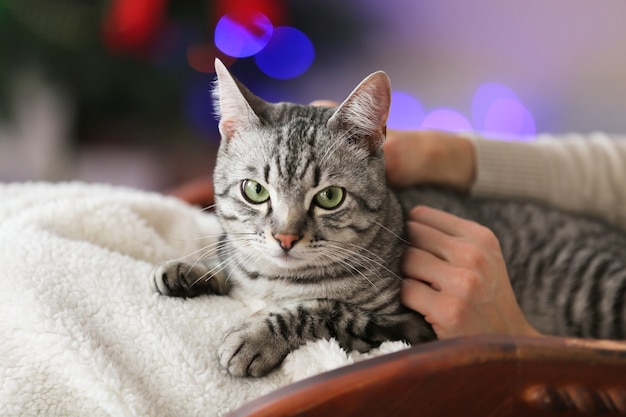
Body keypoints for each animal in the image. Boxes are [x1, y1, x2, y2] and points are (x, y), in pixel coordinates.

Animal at [151, 58, 624, 376]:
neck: (275, 281)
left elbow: (323, 309)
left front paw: (256, 337)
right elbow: (230, 260)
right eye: (255, 191)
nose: (285, 238)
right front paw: (190, 269)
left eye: (329, 197)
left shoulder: (406, 326)